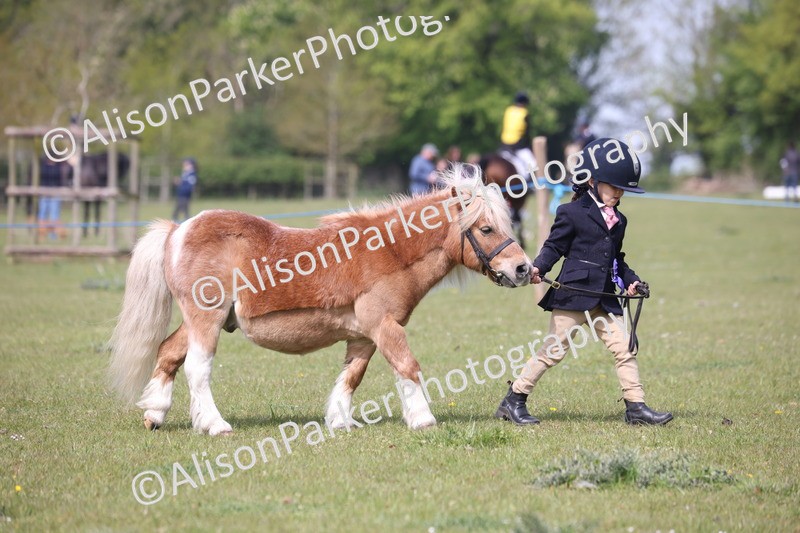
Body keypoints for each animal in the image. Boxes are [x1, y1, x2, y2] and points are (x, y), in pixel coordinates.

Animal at [108, 166, 532, 435]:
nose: (524, 268)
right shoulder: (385, 327)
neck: (390, 252)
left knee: (168, 353)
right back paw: (215, 425)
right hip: (205, 320)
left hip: (201, 321)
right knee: (198, 369)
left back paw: (156, 414)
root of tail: (178, 230)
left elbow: (351, 377)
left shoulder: (363, 336)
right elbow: (408, 367)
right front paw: (423, 419)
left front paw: (341, 421)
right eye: (486, 228)